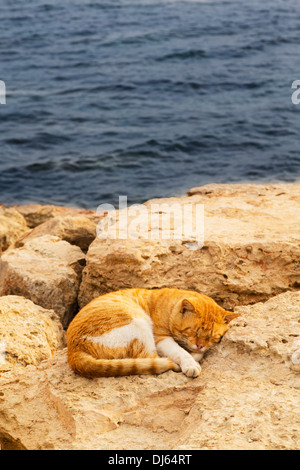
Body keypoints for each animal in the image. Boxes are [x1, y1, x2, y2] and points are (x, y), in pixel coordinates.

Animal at [67, 286, 238, 378]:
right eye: (194, 332)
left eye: (211, 337)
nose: (200, 345)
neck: (169, 306)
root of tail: (73, 351)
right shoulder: (161, 338)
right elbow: (180, 352)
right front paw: (191, 363)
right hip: (138, 323)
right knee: (151, 358)